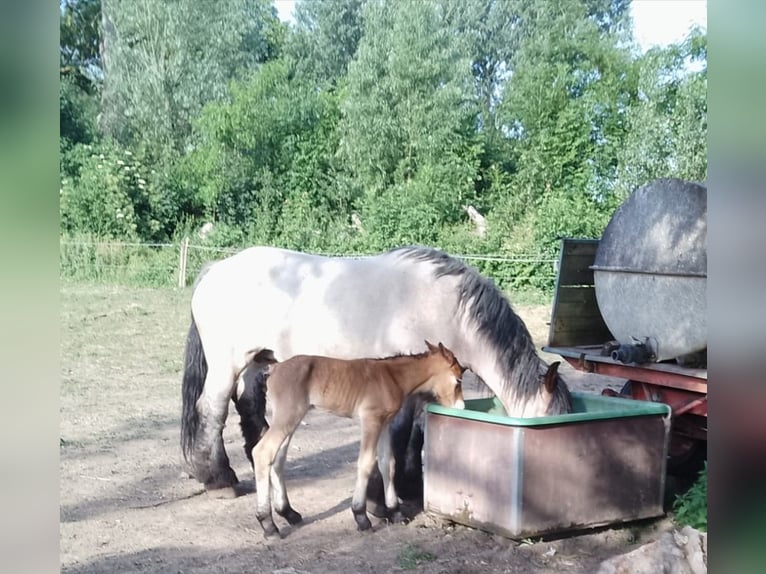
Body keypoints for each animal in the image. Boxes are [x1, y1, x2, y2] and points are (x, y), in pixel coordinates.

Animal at [181, 245, 572, 495]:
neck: (447, 310)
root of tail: (215, 269)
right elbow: (400, 434)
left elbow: (418, 433)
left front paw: (412, 485)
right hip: (228, 364)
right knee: (212, 410)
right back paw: (218, 478)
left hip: (257, 361)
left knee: (248, 406)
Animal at [251, 341, 466, 538]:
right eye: (458, 380)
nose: (462, 408)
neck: (392, 377)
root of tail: (274, 369)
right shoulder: (371, 420)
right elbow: (366, 463)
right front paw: (361, 517)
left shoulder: (385, 423)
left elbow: (388, 463)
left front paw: (395, 512)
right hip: (288, 416)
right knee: (262, 452)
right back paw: (268, 525)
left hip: (291, 418)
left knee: (278, 458)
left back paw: (289, 513)